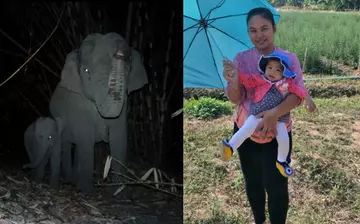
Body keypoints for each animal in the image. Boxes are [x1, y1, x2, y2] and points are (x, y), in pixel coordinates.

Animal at [49, 32, 148, 192]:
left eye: (127, 69)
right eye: (86, 72)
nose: (119, 53)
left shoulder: (124, 103)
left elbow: (119, 138)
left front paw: (120, 193)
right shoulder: (78, 103)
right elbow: (86, 138)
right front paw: (86, 192)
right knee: (68, 143)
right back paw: (70, 181)